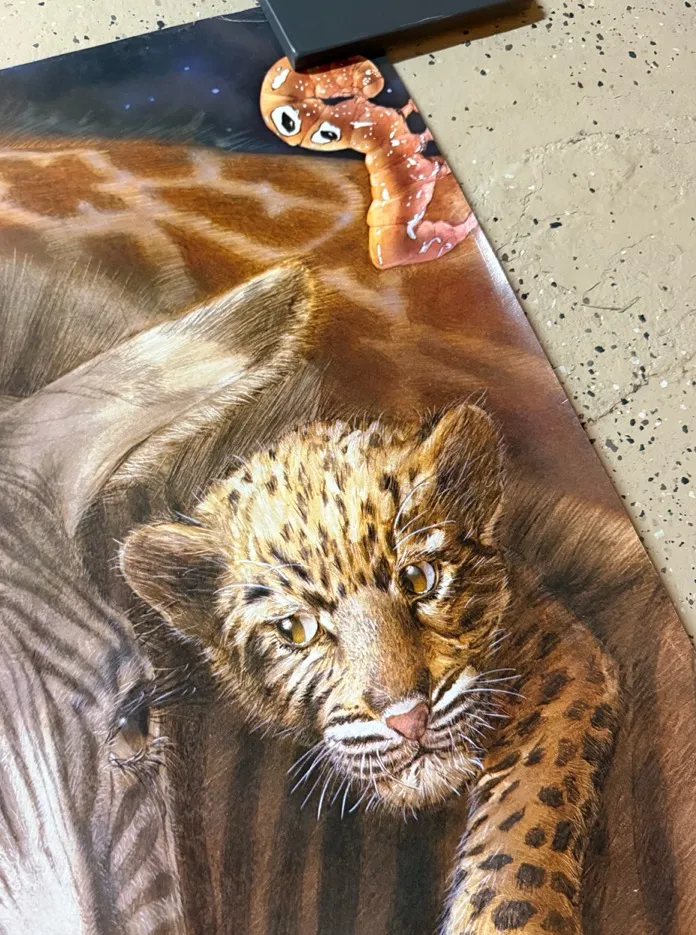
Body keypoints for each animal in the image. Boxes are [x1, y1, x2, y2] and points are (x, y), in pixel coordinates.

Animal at [121, 399, 619, 935]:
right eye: (296, 630)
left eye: (420, 579)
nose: (409, 719)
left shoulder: (565, 650)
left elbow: (527, 805)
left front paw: (500, 916)